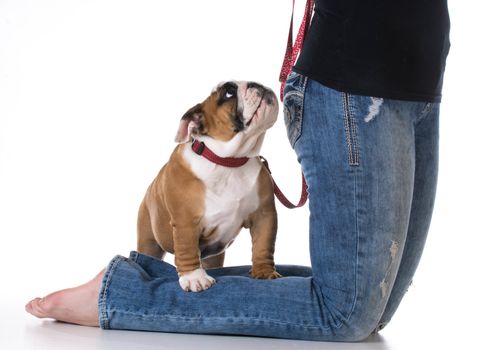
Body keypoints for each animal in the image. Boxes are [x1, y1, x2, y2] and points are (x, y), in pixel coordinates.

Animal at [136, 80, 280, 292]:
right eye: (228, 93)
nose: (257, 84)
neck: (228, 161)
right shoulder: (186, 222)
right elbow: (187, 249)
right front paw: (194, 278)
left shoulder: (264, 215)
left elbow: (263, 245)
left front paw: (264, 271)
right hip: (149, 241)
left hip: (214, 256)